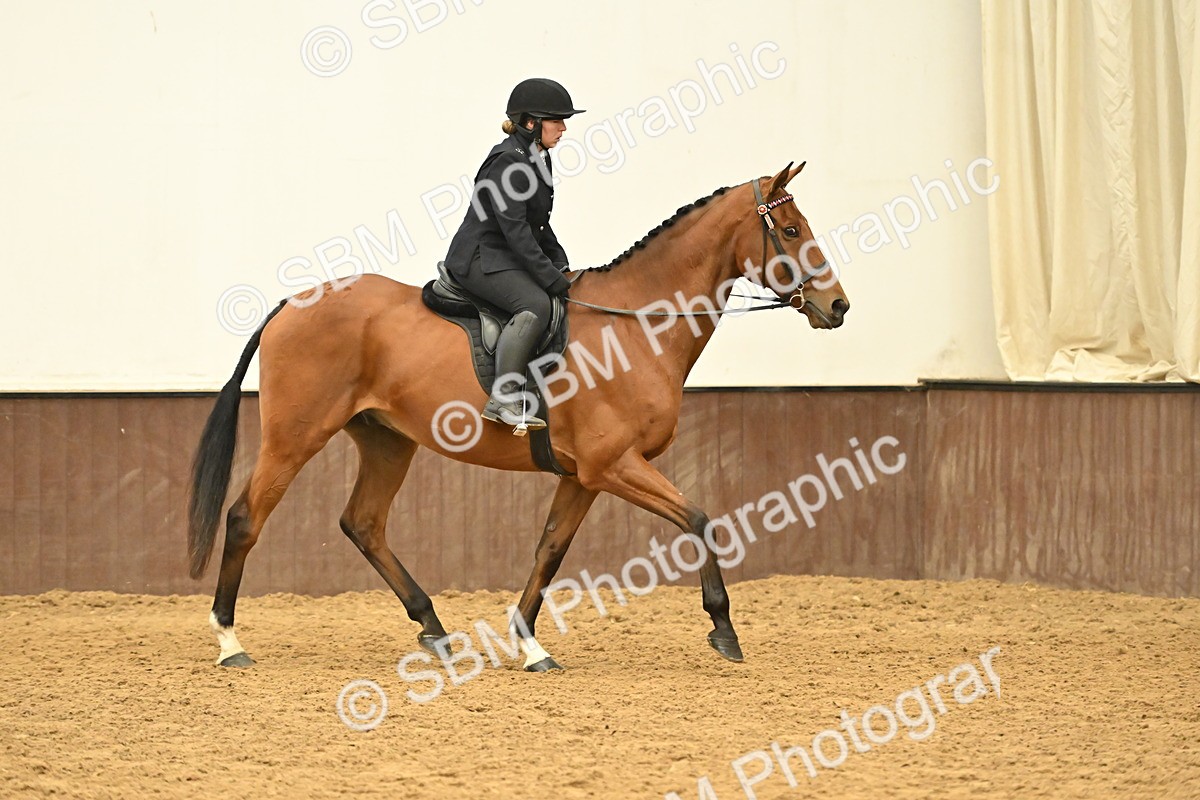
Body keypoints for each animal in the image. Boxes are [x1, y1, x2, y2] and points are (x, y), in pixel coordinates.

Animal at [187, 161, 850, 671]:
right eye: (791, 230)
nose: (838, 306)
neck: (636, 324)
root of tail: (292, 303)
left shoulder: (584, 476)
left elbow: (549, 550)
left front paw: (530, 646)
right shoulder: (616, 465)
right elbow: (701, 520)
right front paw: (723, 628)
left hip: (386, 441)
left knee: (364, 524)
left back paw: (435, 629)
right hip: (296, 435)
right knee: (246, 518)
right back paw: (229, 642)